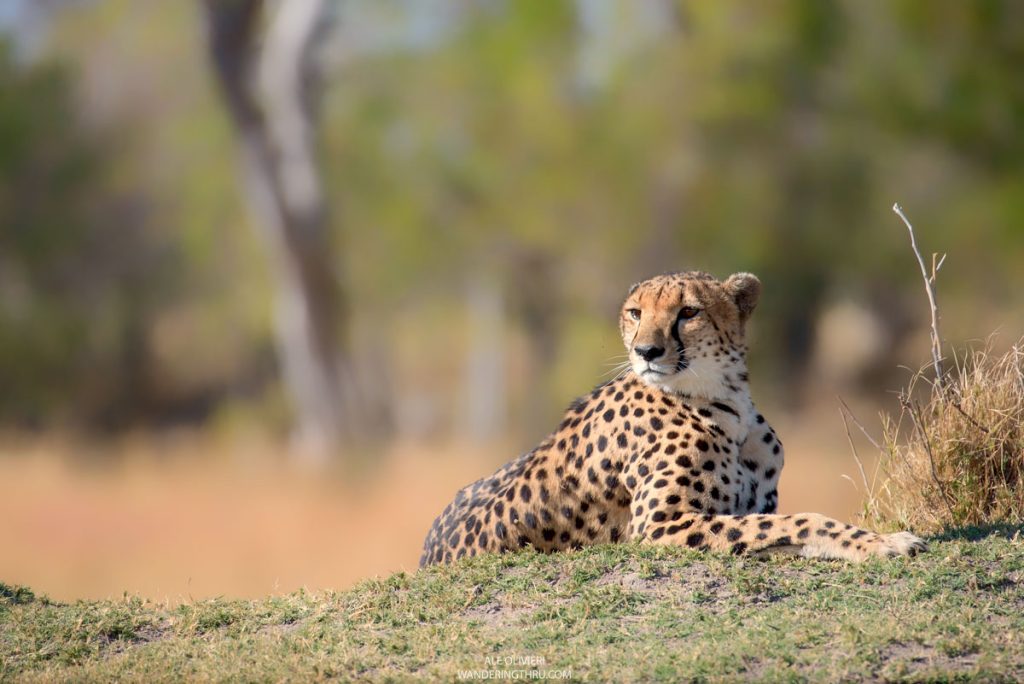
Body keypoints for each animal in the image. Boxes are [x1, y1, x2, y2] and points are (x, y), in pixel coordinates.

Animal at [420, 271, 926, 566]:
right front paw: (883, 542)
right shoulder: (660, 525)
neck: (726, 399)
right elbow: (799, 521)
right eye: (634, 313)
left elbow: (778, 527)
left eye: (688, 312)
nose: (646, 351)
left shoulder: (746, 506)